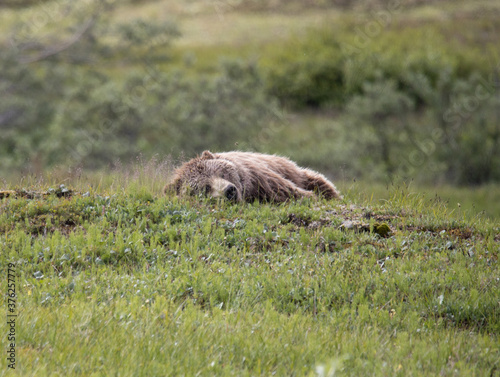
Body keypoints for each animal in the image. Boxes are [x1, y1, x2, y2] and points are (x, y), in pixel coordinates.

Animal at [166, 150, 342, 203]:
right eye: (205, 187)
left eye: (221, 173)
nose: (229, 190)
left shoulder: (260, 177)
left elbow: (288, 190)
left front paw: (313, 196)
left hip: (288, 168)